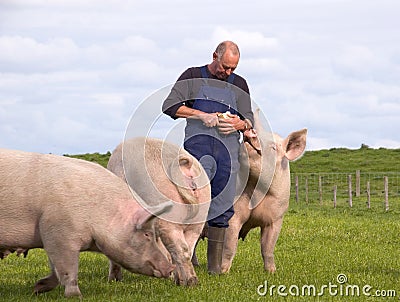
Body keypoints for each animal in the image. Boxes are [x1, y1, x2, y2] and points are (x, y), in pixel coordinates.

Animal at [0, 149, 175, 298]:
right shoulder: (59, 233)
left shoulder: (50, 237)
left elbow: (55, 270)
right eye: (146, 234)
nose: (170, 268)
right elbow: (67, 269)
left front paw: (37, 288)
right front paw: (76, 296)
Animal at [108, 138, 211, 286]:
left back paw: (189, 283)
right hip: (200, 215)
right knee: (188, 249)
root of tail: (185, 167)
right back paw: (181, 281)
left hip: (168, 213)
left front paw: (114, 280)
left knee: (180, 249)